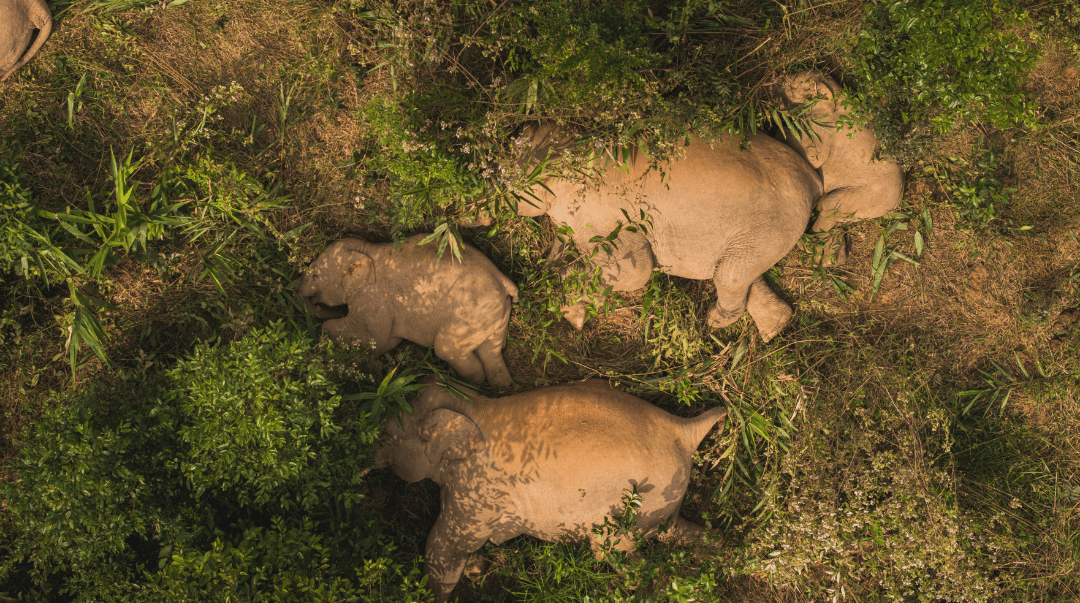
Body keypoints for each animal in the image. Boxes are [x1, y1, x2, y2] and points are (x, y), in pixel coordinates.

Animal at [297, 235, 519, 386]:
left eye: (315, 276)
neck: (366, 250)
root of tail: (504, 282)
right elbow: (386, 341)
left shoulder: (372, 299)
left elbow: (370, 338)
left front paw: (327, 331)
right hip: (493, 317)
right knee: (491, 351)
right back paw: (502, 386)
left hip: (471, 316)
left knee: (446, 348)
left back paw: (468, 384)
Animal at [374, 378, 727, 602]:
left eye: (387, 436)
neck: (470, 404)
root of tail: (684, 430)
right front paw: (476, 569)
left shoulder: (476, 487)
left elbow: (445, 546)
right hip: (662, 502)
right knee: (678, 532)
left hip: (635, 507)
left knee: (615, 554)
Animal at [513, 123, 822, 342]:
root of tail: (812, 176)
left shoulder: (601, 210)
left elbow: (636, 270)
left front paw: (569, 303)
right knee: (736, 270)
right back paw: (776, 326)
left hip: (775, 220)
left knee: (728, 274)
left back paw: (714, 321)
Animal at [772, 71, 905, 266]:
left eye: (795, 84)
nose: (778, 78)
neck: (837, 91)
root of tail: (897, 204)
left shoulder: (824, 129)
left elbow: (811, 156)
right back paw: (833, 256)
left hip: (873, 197)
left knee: (831, 205)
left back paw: (814, 252)